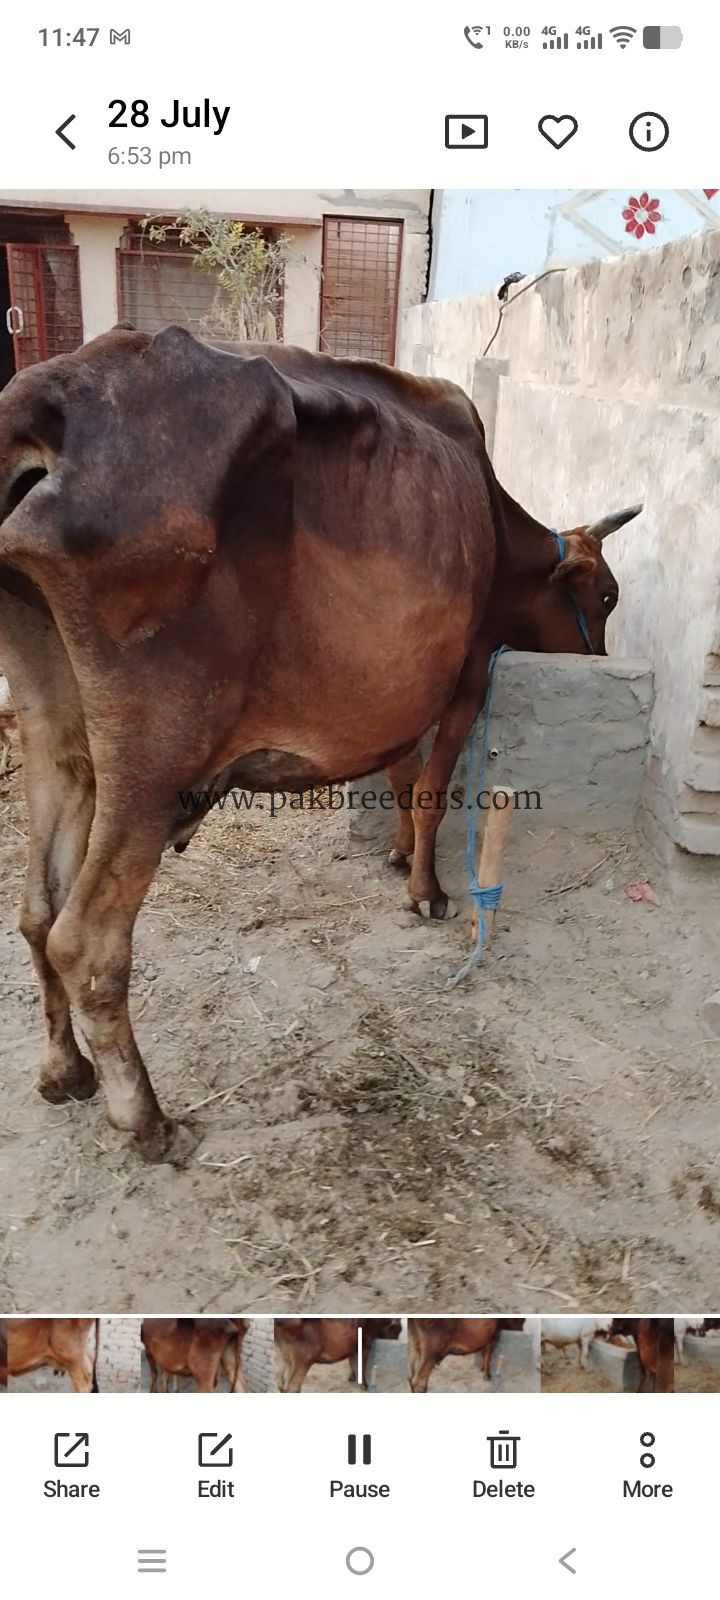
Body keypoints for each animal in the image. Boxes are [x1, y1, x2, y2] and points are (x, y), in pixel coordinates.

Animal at [0, 326, 641, 1161]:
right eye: (606, 595)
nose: (605, 657)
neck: (494, 522)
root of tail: (45, 398)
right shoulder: (466, 673)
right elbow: (430, 789)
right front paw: (427, 891)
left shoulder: (403, 691)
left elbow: (401, 776)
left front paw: (398, 856)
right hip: (152, 760)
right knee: (87, 940)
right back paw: (146, 1119)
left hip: (55, 729)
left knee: (37, 911)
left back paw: (64, 1070)